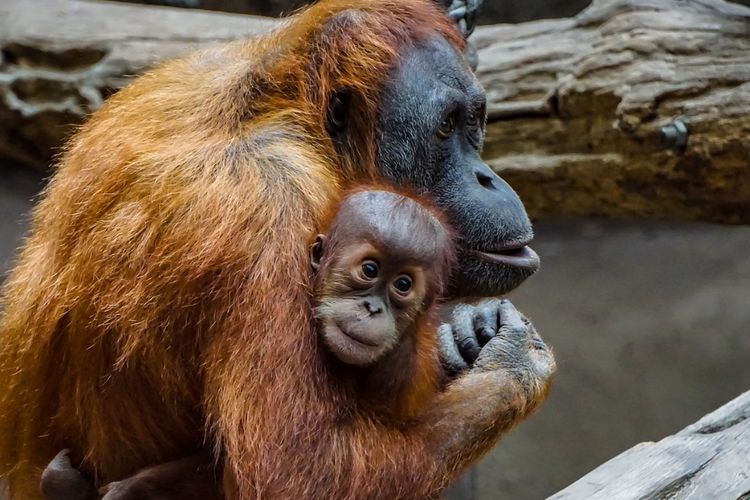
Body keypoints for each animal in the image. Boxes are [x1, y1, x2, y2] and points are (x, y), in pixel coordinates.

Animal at [0, 0, 553, 498]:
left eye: (473, 122)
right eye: (444, 127)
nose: (486, 178)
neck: (286, 117)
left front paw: (468, 334)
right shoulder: (268, 210)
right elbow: (300, 471)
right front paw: (516, 363)